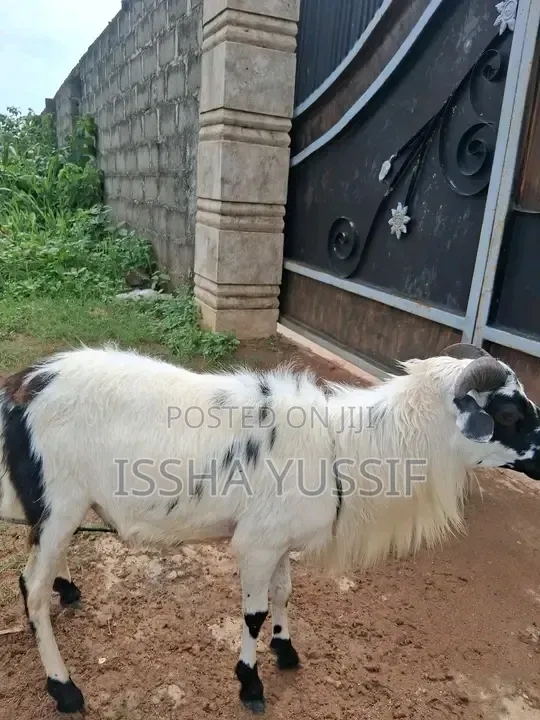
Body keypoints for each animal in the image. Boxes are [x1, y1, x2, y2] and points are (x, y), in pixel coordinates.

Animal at [1, 341, 540, 715]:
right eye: (509, 411)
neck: (343, 447)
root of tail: (24, 383)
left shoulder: (281, 540)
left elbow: (284, 593)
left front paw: (286, 650)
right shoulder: (257, 544)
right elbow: (254, 614)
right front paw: (251, 684)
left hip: (64, 508)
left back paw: (69, 589)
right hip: (59, 500)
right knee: (30, 587)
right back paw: (64, 688)